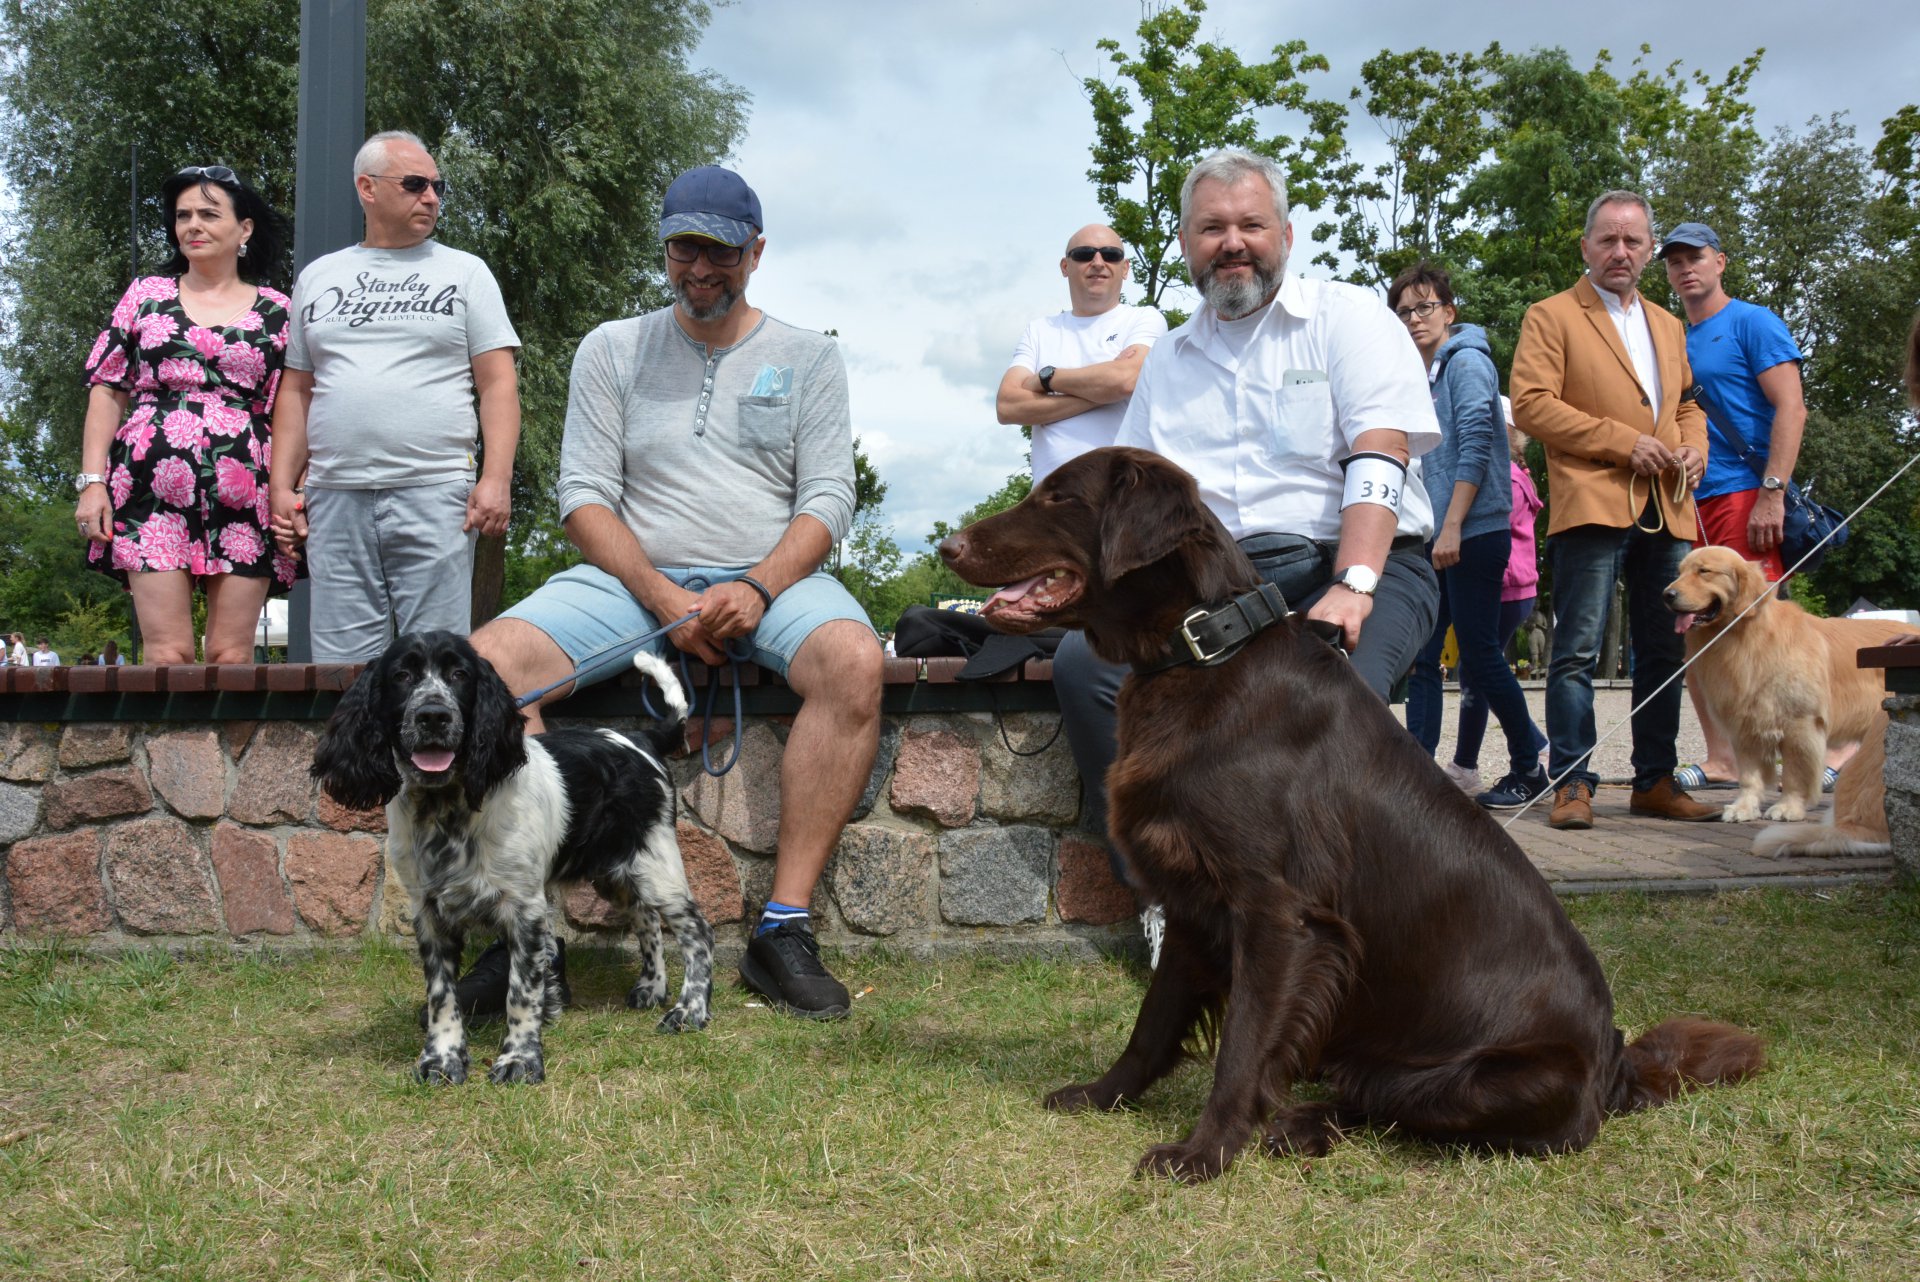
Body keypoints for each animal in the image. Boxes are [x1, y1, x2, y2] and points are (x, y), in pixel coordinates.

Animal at [312, 631, 714, 1086]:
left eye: (459, 674)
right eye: (401, 675)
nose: (433, 716)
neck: (447, 810)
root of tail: (642, 740)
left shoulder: (524, 909)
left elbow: (521, 993)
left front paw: (519, 1060)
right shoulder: (429, 911)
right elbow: (441, 996)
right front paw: (442, 1059)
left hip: (656, 866)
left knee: (698, 934)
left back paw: (689, 1011)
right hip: (616, 871)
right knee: (647, 921)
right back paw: (651, 987)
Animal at [939, 447, 1763, 1182]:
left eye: (1057, 497)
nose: (947, 545)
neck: (1205, 655)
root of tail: (1615, 1070)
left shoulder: (1280, 916)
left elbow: (1242, 1049)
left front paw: (1205, 1153)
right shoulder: (1194, 902)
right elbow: (1154, 1024)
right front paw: (1105, 1095)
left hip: (1490, 1078)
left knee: (1392, 1106)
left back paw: (1299, 1126)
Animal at [1664, 545, 1917, 851]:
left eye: (1704, 571)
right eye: (1679, 572)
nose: (1667, 595)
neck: (1743, 636)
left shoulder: (1800, 725)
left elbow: (1795, 773)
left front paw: (1788, 808)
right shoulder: (1744, 725)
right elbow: (1749, 776)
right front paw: (1744, 808)